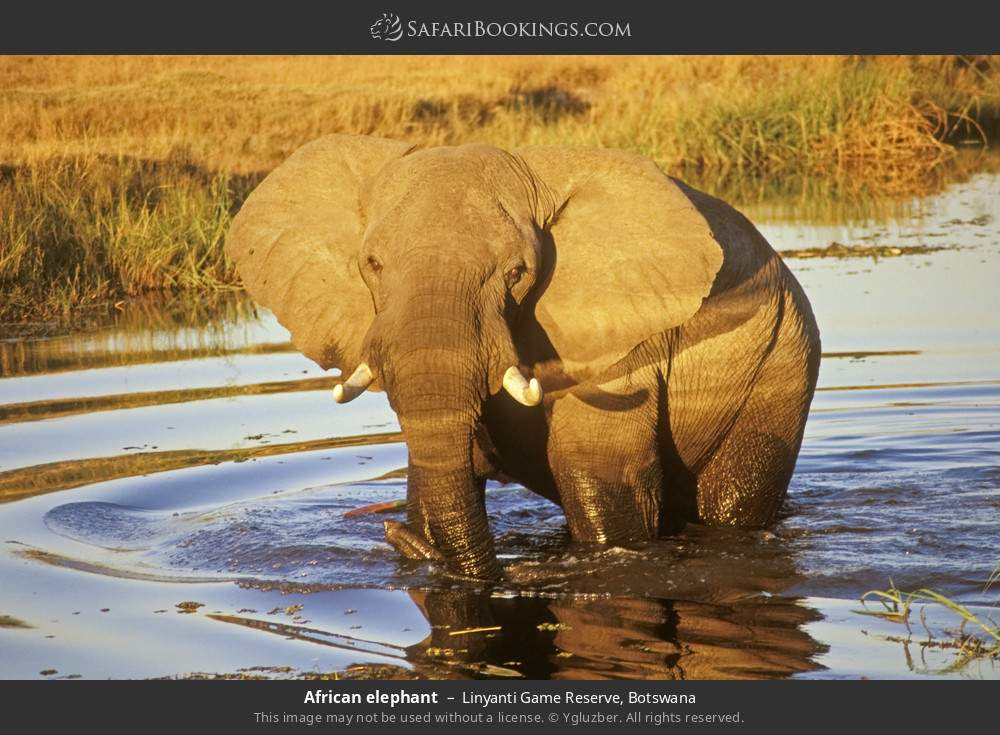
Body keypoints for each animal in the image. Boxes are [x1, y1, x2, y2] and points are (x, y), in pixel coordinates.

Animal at [227, 132, 820, 580]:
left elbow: (597, 478)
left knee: (733, 501)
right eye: (371, 264)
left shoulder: (618, 340)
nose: (389, 530)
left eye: (517, 273)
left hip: (780, 354)